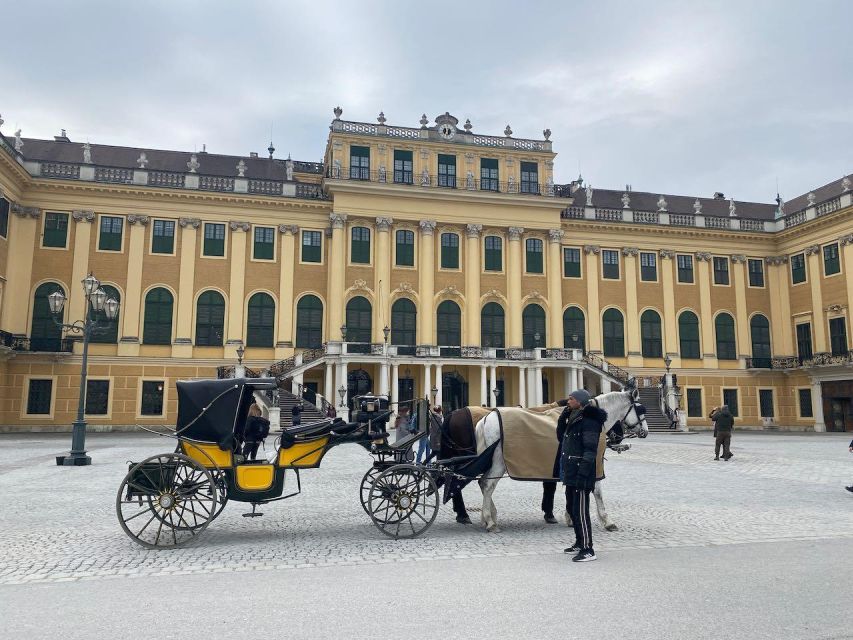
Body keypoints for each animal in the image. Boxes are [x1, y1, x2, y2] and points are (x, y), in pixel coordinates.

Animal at [472, 388, 644, 532]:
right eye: (641, 409)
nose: (645, 431)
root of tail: (488, 417)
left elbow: (572, 489)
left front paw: (571, 517)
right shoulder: (591, 465)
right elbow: (597, 492)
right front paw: (607, 521)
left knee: (483, 482)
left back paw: (489, 517)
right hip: (499, 462)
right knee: (488, 485)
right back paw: (490, 521)